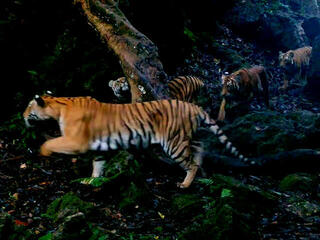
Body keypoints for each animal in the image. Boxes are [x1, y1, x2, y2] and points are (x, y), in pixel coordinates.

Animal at [23, 94, 252, 188]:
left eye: (28, 107)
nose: (22, 115)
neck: (58, 106)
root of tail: (192, 106)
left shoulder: (75, 141)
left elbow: (50, 142)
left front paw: (43, 152)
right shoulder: (98, 148)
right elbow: (98, 165)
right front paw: (92, 181)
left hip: (173, 143)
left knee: (191, 163)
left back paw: (185, 184)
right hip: (183, 137)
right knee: (200, 146)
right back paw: (202, 171)